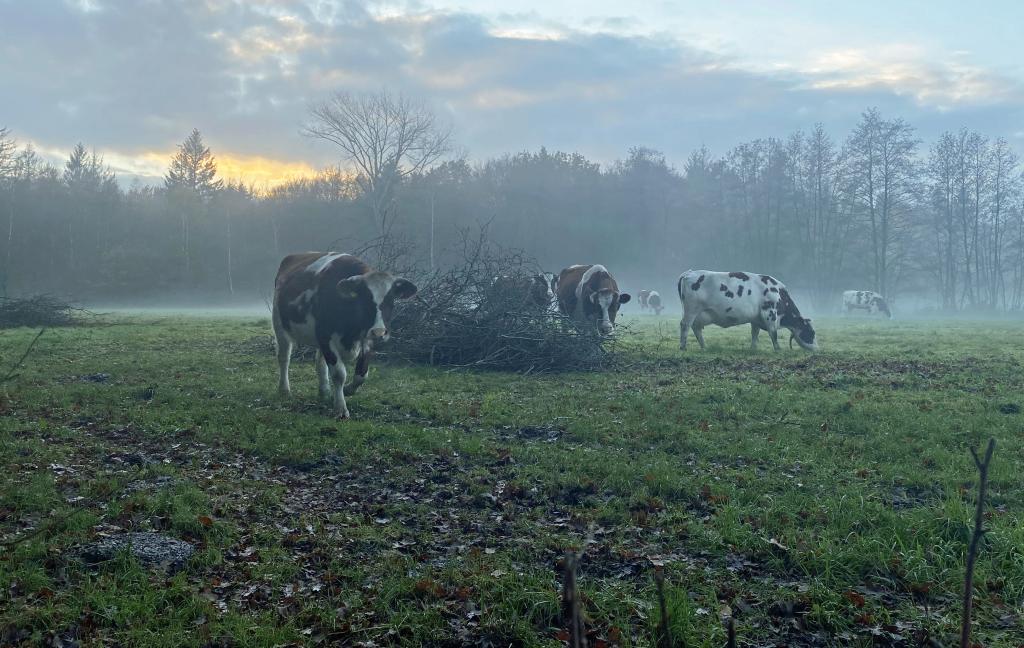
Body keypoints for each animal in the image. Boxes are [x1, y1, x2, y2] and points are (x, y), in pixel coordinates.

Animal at [274, 249, 417, 421]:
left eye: (391, 299)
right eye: (365, 299)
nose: (379, 332)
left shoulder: (367, 340)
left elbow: (361, 374)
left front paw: (348, 390)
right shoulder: (326, 336)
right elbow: (338, 374)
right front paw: (341, 408)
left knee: (319, 362)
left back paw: (324, 391)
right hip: (279, 325)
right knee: (284, 357)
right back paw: (284, 390)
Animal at [679, 268, 815, 352]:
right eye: (812, 333)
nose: (817, 349)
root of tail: (688, 273)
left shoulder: (756, 319)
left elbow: (755, 334)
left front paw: (753, 348)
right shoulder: (770, 313)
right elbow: (773, 333)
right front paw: (778, 349)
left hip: (698, 314)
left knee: (696, 328)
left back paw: (704, 347)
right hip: (691, 310)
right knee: (685, 325)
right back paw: (683, 347)